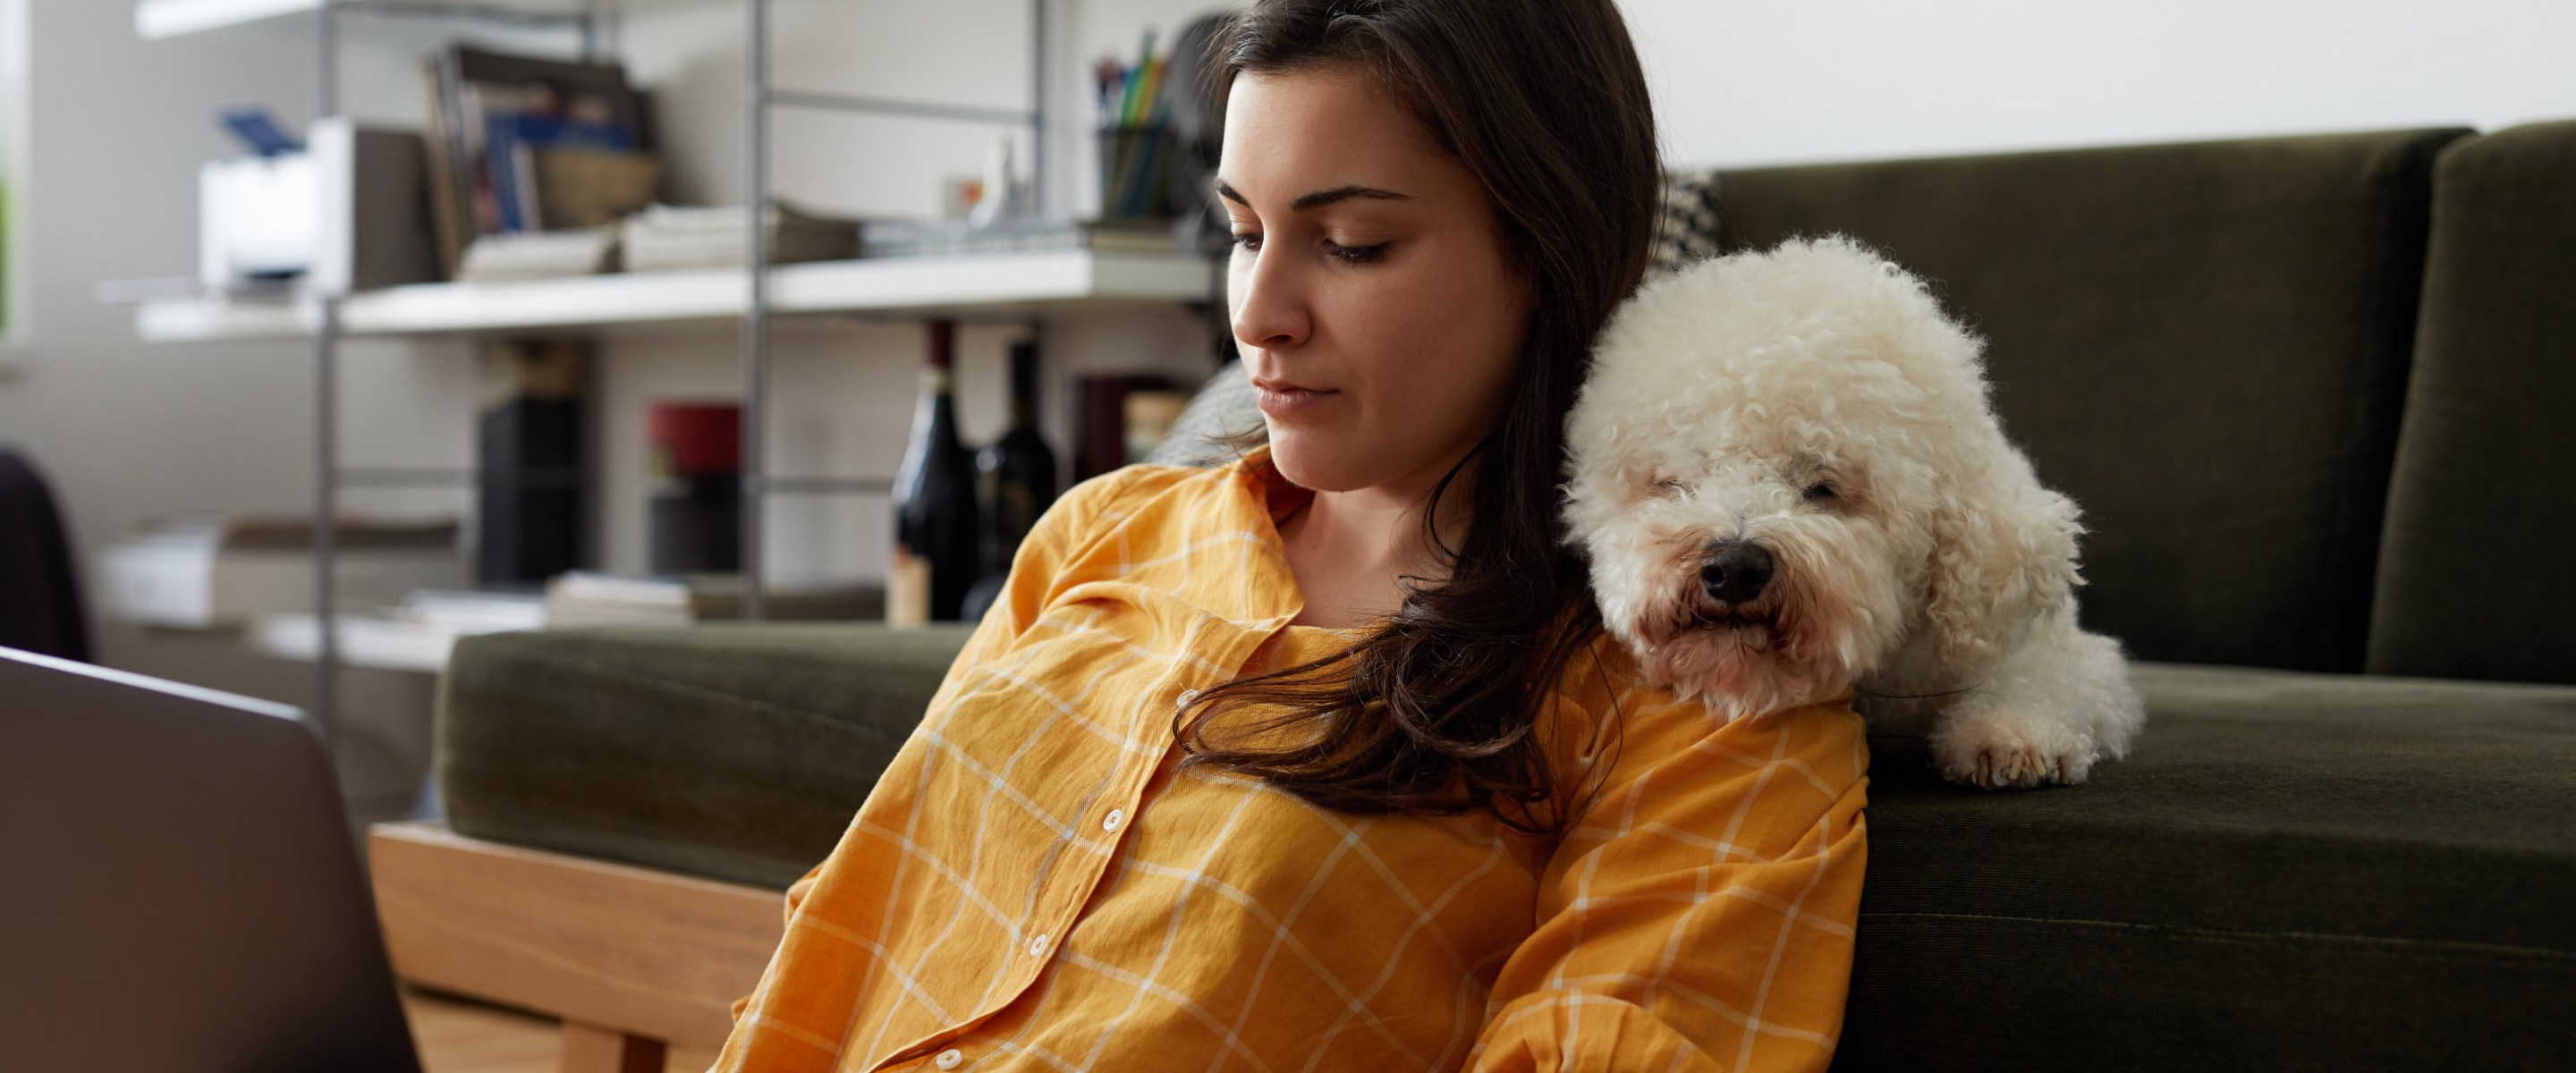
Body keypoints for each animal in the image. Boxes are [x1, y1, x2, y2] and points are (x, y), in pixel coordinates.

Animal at [1555, 236, 2143, 787]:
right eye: (1676, 483)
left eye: (1823, 488)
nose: (1734, 569)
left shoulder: (2050, 644)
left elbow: (2045, 675)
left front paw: (2011, 732)